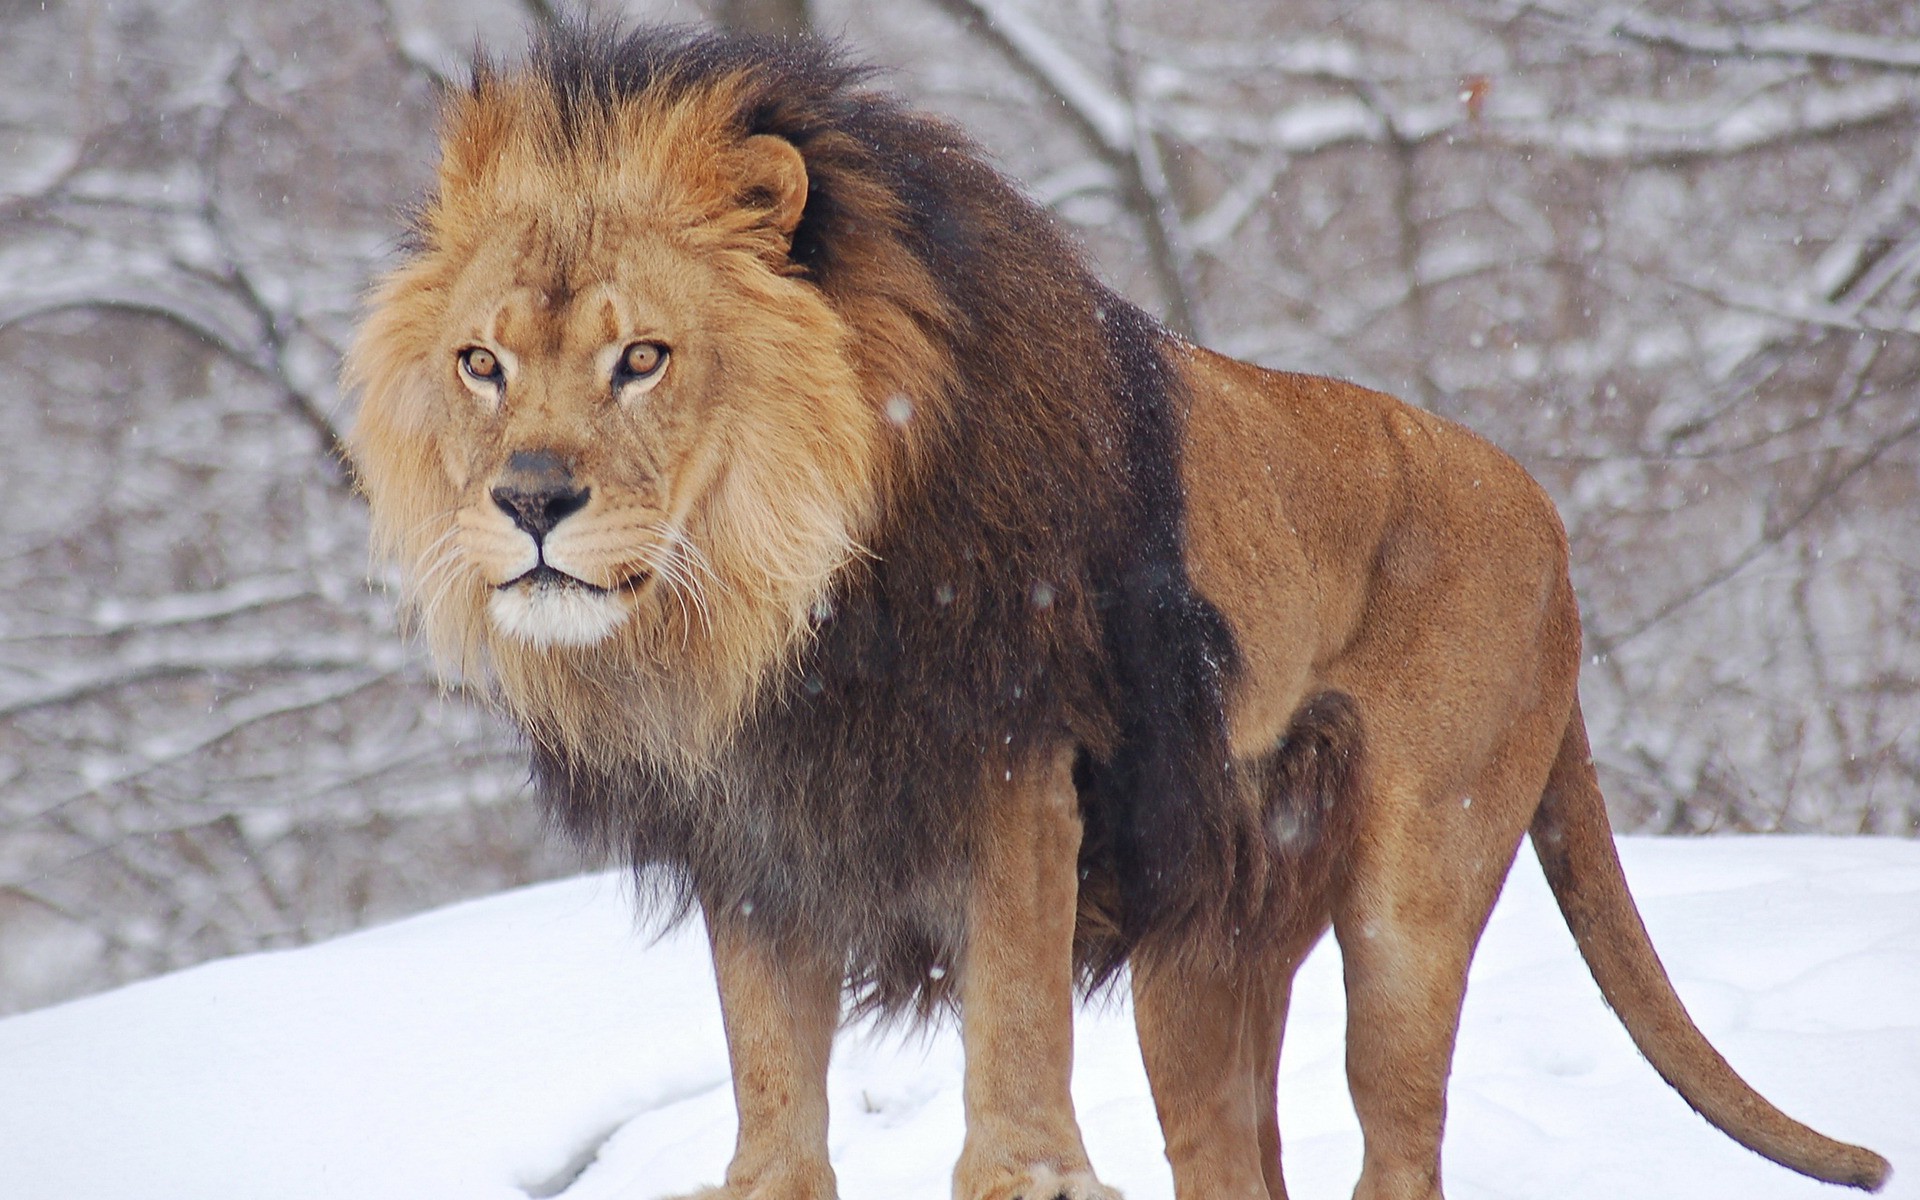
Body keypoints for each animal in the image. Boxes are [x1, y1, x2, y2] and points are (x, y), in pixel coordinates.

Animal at [344, 22, 1890, 1200]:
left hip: (1414, 891)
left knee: (1399, 1140)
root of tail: (1550, 516)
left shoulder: (1017, 765)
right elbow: (775, 1096)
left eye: (643, 359)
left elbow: (1015, 1033)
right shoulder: (763, 836)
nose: (530, 501)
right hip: (1203, 957)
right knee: (1237, 1160)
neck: (774, 608)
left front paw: (1029, 1177)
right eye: (482, 365)